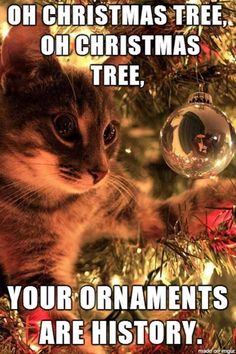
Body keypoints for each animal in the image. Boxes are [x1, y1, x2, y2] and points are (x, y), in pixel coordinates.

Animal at [0, 13, 235, 354]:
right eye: (64, 126)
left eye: (109, 133)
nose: (101, 172)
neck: (67, 207)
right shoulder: (35, 275)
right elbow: (64, 332)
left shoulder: (133, 212)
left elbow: (181, 209)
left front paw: (224, 195)